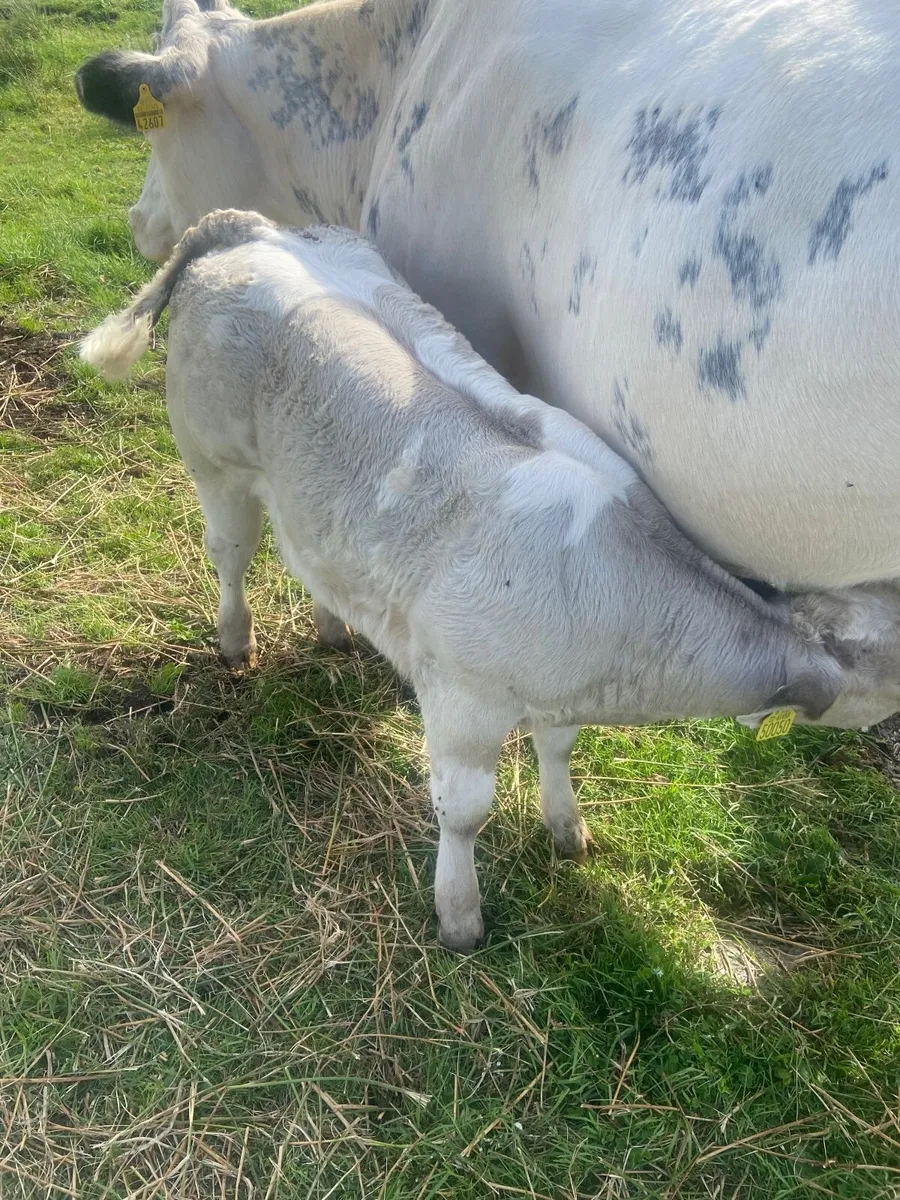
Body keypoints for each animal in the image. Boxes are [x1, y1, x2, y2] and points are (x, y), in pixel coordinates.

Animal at [79, 210, 900, 949]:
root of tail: (253, 229)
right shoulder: (461, 696)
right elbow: (465, 812)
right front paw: (460, 917)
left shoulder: (560, 691)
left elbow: (559, 752)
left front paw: (568, 829)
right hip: (212, 459)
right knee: (230, 554)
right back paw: (234, 641)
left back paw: (334, 626)